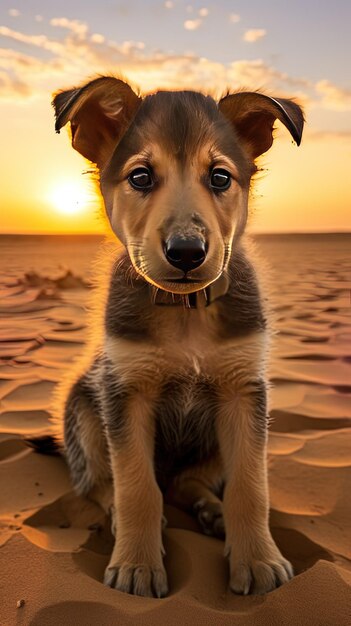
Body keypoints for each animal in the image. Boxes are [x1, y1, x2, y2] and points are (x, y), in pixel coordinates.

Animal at [46, 77, 304, 596]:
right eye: (142, 177)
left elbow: (251, 486)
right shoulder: (125, 392)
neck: (185, 314)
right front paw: (136, 566)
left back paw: (212, 510)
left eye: (220, 178)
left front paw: (259, 560)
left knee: (189, 481)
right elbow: (136, 487)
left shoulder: (245, 393)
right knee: (99, 483)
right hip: (83, 408)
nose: (187, 252)